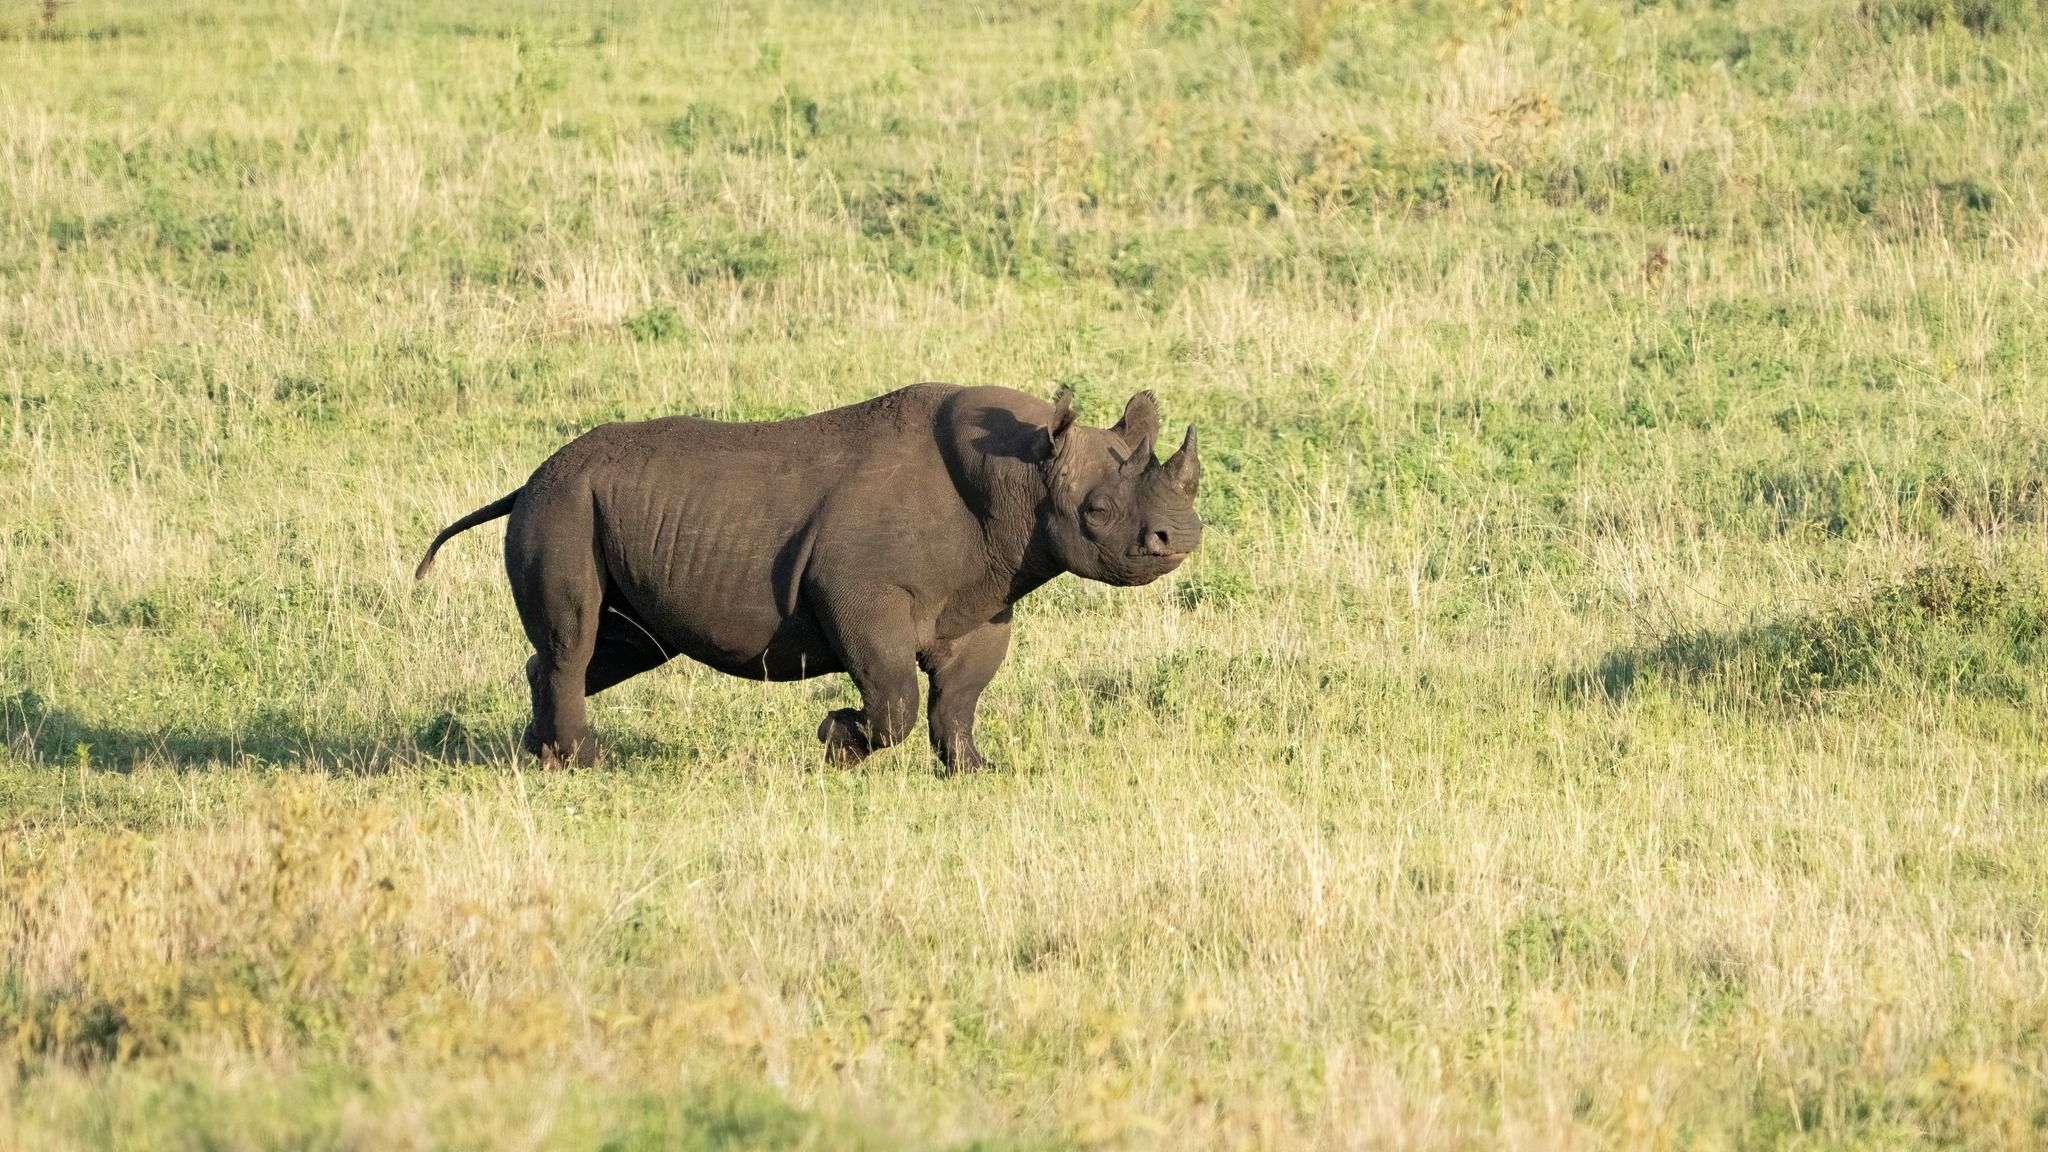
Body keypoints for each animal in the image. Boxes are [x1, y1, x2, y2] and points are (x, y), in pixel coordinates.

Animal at [414, 384, 1203, 771]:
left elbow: (957, 699)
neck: (1021, 472)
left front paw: (974, 771)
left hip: (583, 504)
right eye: (1096, 511)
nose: (1183, 536)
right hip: (563, 504)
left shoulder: (984, 603)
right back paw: (585, 763)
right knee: (575, 643)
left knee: (619, 648)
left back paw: (542, 756)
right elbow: (895, 698)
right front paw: (836, 741)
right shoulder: (857, 592)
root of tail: (525, 479)